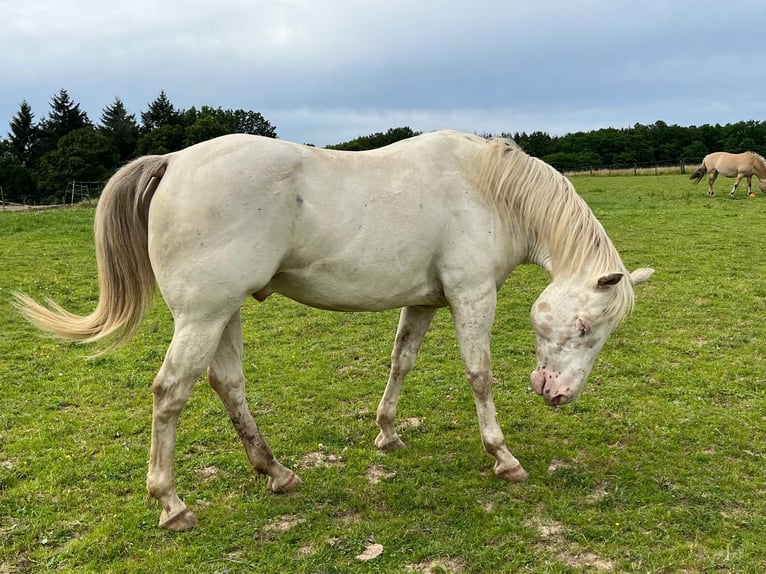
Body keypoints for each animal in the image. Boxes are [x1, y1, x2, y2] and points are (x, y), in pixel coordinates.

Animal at [14, 130, 653, 531]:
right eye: (586, 326)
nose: (557, 394)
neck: (486, 189)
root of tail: (173, 161)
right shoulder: (472, 296)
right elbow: (480, 375)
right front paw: (502, 457)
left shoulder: (425, 302)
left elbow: (402, 361)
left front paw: (388, 433)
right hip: (202, 317)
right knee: (170, 394)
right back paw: (172, 505)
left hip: (221, 315)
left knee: (228, 386)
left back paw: (276, 473)